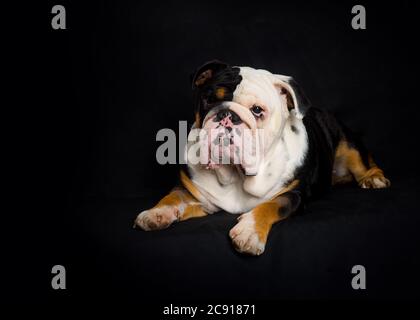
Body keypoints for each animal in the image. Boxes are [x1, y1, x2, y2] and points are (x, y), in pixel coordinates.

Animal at [132, 60, 390, 255]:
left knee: (364, 160)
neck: (235, 175)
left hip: (347, 142)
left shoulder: (292, 194)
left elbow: (270, 205)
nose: (227, 115)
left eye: (257, 110)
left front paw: (250, 232)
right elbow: (173, 196)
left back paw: (374, 178)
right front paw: (156, 213)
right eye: (209, 100)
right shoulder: (196, 195)